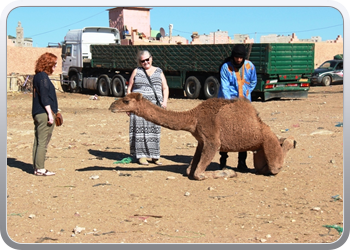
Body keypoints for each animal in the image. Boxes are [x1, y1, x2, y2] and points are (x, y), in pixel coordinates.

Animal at [108, 93, 296, 181]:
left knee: (275, 167)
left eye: (126, 100)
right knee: (263, 168)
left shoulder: (212, 141)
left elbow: (198, 174)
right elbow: (188, 170)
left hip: (267, 140)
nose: (111, 106)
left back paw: (290, 140)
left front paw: (228, 172)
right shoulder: (200, 141)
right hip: (260, 149)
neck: (194, 117)